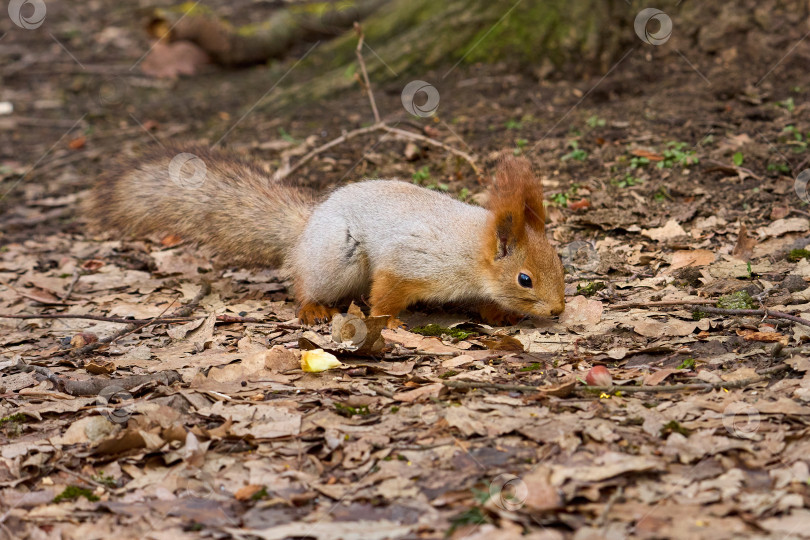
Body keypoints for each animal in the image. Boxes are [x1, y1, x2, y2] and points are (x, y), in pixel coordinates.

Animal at [88, 146, 564, 326]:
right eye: (525, 279)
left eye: (560, 262)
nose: (559, 310)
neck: (471, 250)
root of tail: (307, 228)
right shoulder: (411, 261)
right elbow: (386, 292)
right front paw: (389, 322)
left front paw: (500, 315)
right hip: (338, 260)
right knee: (304, 285)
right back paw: (313, 308)